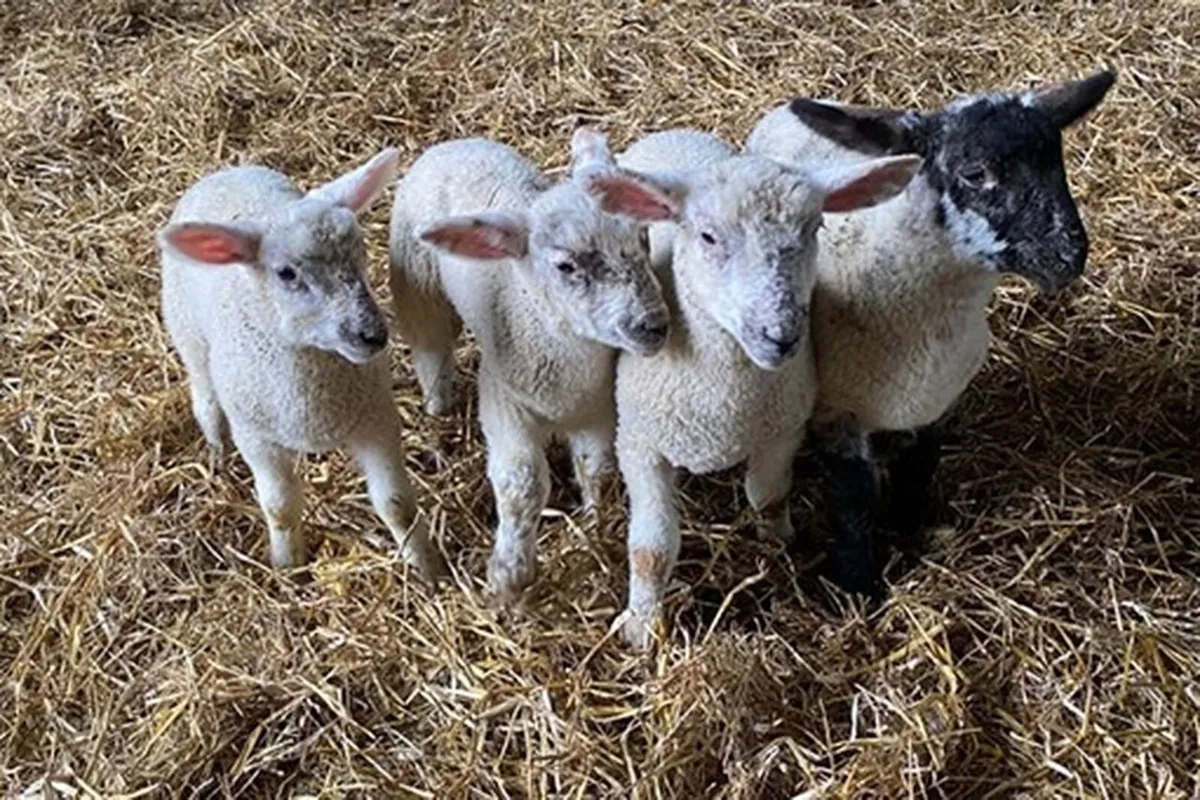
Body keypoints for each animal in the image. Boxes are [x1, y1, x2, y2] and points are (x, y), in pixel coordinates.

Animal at [158, 148, 447, 580]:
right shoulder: (257, 436)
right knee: (205, 399)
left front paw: (428, 569)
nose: (372, 335)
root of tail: (225, 172)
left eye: (360, 253)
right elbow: (280, 508)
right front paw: (287, 566)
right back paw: (217, 453)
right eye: (286, 273)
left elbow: (396, 504)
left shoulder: (377, 418)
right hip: (189, 338)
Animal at [389, 128, 683, 604]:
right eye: (565, 265)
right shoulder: (504, 407)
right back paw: (438, 412)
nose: (653, 325)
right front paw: (509, 577)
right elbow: (522, 486)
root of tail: (455, 143)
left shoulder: (597, 412)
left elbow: (595, 468)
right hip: (418, 286)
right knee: (432, 352)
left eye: (644, 241)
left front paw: (593, 522)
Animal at [612, 130, 922, 646]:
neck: (724, 400)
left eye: (816, 227)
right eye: (708, 236)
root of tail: (676, 133)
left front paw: (780, 544)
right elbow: (650, 548)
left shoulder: (783, 429)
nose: (782, 336)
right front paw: (640, 625)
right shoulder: (638, 443)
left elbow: (768, 495)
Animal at [745, 69, 1116, 598]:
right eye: (974, 173)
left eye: (1056, 160)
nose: (1069, 255)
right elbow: (854, 500)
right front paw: (857, 583)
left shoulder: (938, 400)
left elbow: (920, 468)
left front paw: (909, 528)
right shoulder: (836, 411)